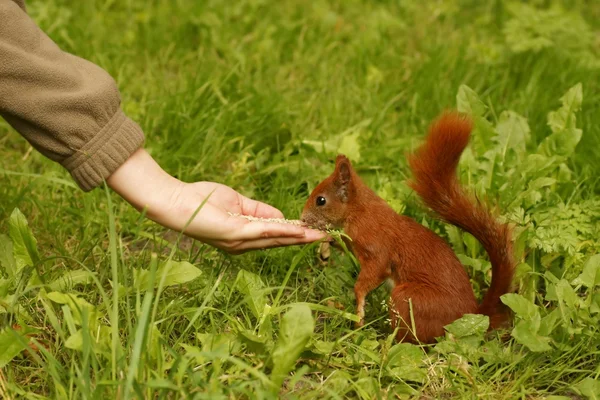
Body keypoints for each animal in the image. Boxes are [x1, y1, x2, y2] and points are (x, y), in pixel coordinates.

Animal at [300, 111, 516, 344]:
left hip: (409, 299)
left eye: (321, 200)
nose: (302, 219)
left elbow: (375, 271)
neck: (359, 212)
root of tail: (471, 316)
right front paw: (326, 244)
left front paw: (359, 309)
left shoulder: (376, 246)